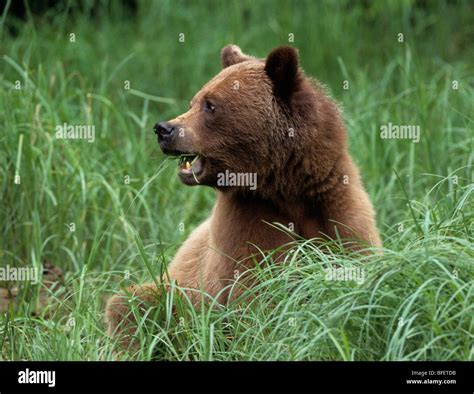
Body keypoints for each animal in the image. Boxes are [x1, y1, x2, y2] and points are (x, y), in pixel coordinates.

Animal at [104, 43, 382, 348]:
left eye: (210, 105)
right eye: (194, 101)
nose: (164, 129)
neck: (287, 189)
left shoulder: (338, 209)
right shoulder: (247, 219)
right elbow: (259, 292)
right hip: (174, 296)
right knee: (131, 306)